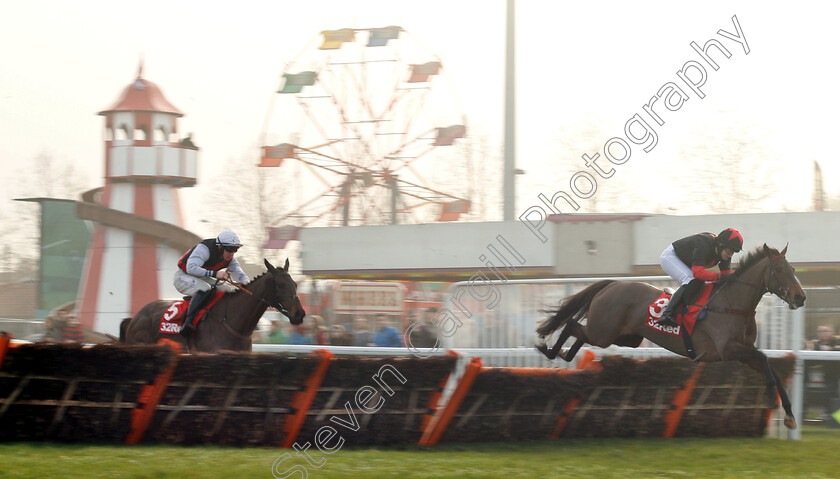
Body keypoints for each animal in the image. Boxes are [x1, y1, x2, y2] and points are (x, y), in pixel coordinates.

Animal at [540, 244, 808, 432]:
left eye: (794, 270)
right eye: (780, 270)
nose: (800, 297)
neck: (732, 303)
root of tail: (612, 284)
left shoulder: (743, 352)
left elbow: (770, 367)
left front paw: (790, 416)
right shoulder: (728, 350)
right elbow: (763, 359)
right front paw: (769, 398)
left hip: (623, 336)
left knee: (581, 333)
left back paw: (563, 354)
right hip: (605, 333)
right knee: (572, 324)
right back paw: (549, 350)